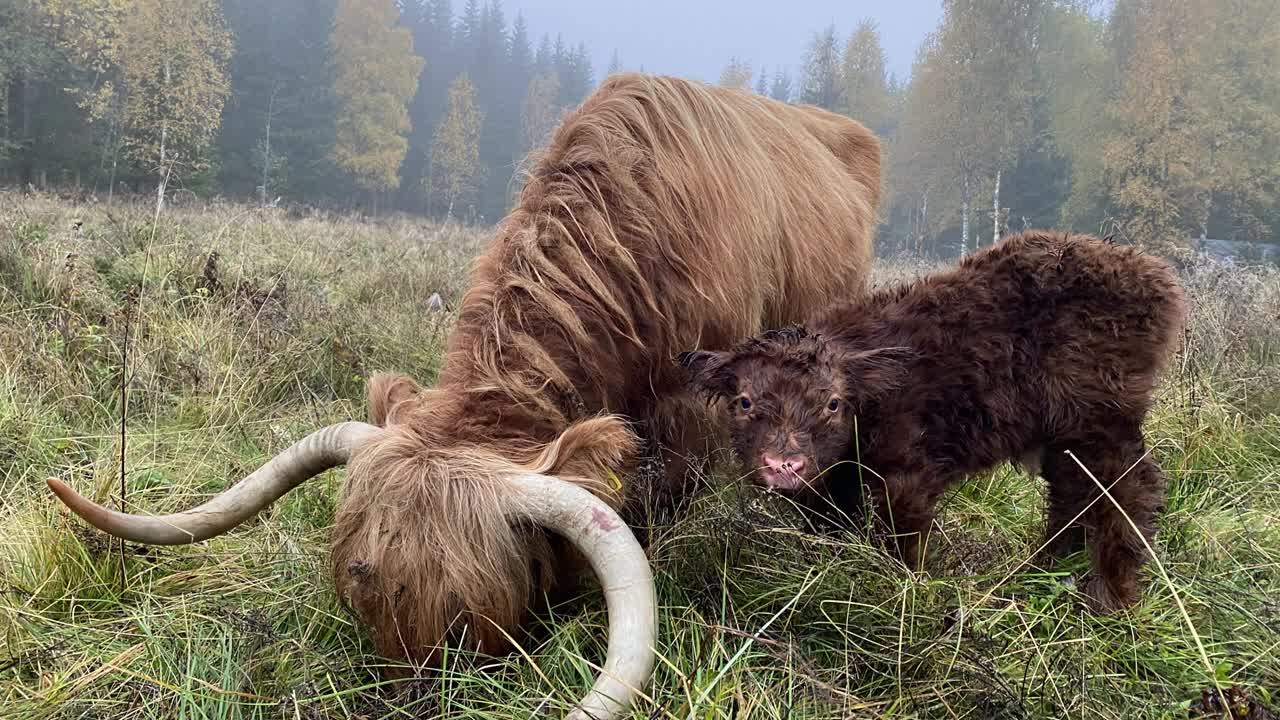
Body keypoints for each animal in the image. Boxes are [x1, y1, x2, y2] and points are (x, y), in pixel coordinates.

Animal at [680, 226, 1187, 607]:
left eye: (833, 403)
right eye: (744, 402)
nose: (784, 464)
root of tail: (1152, 272)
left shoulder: (908, 473)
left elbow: (901, 538)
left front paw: (901, 589)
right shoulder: (832, 484)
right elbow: (831, 528)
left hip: (1099, 419)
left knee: (1130, 488)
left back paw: (1111, 595)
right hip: (1065, 435)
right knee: (1075, 494)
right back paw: (1040, 573)